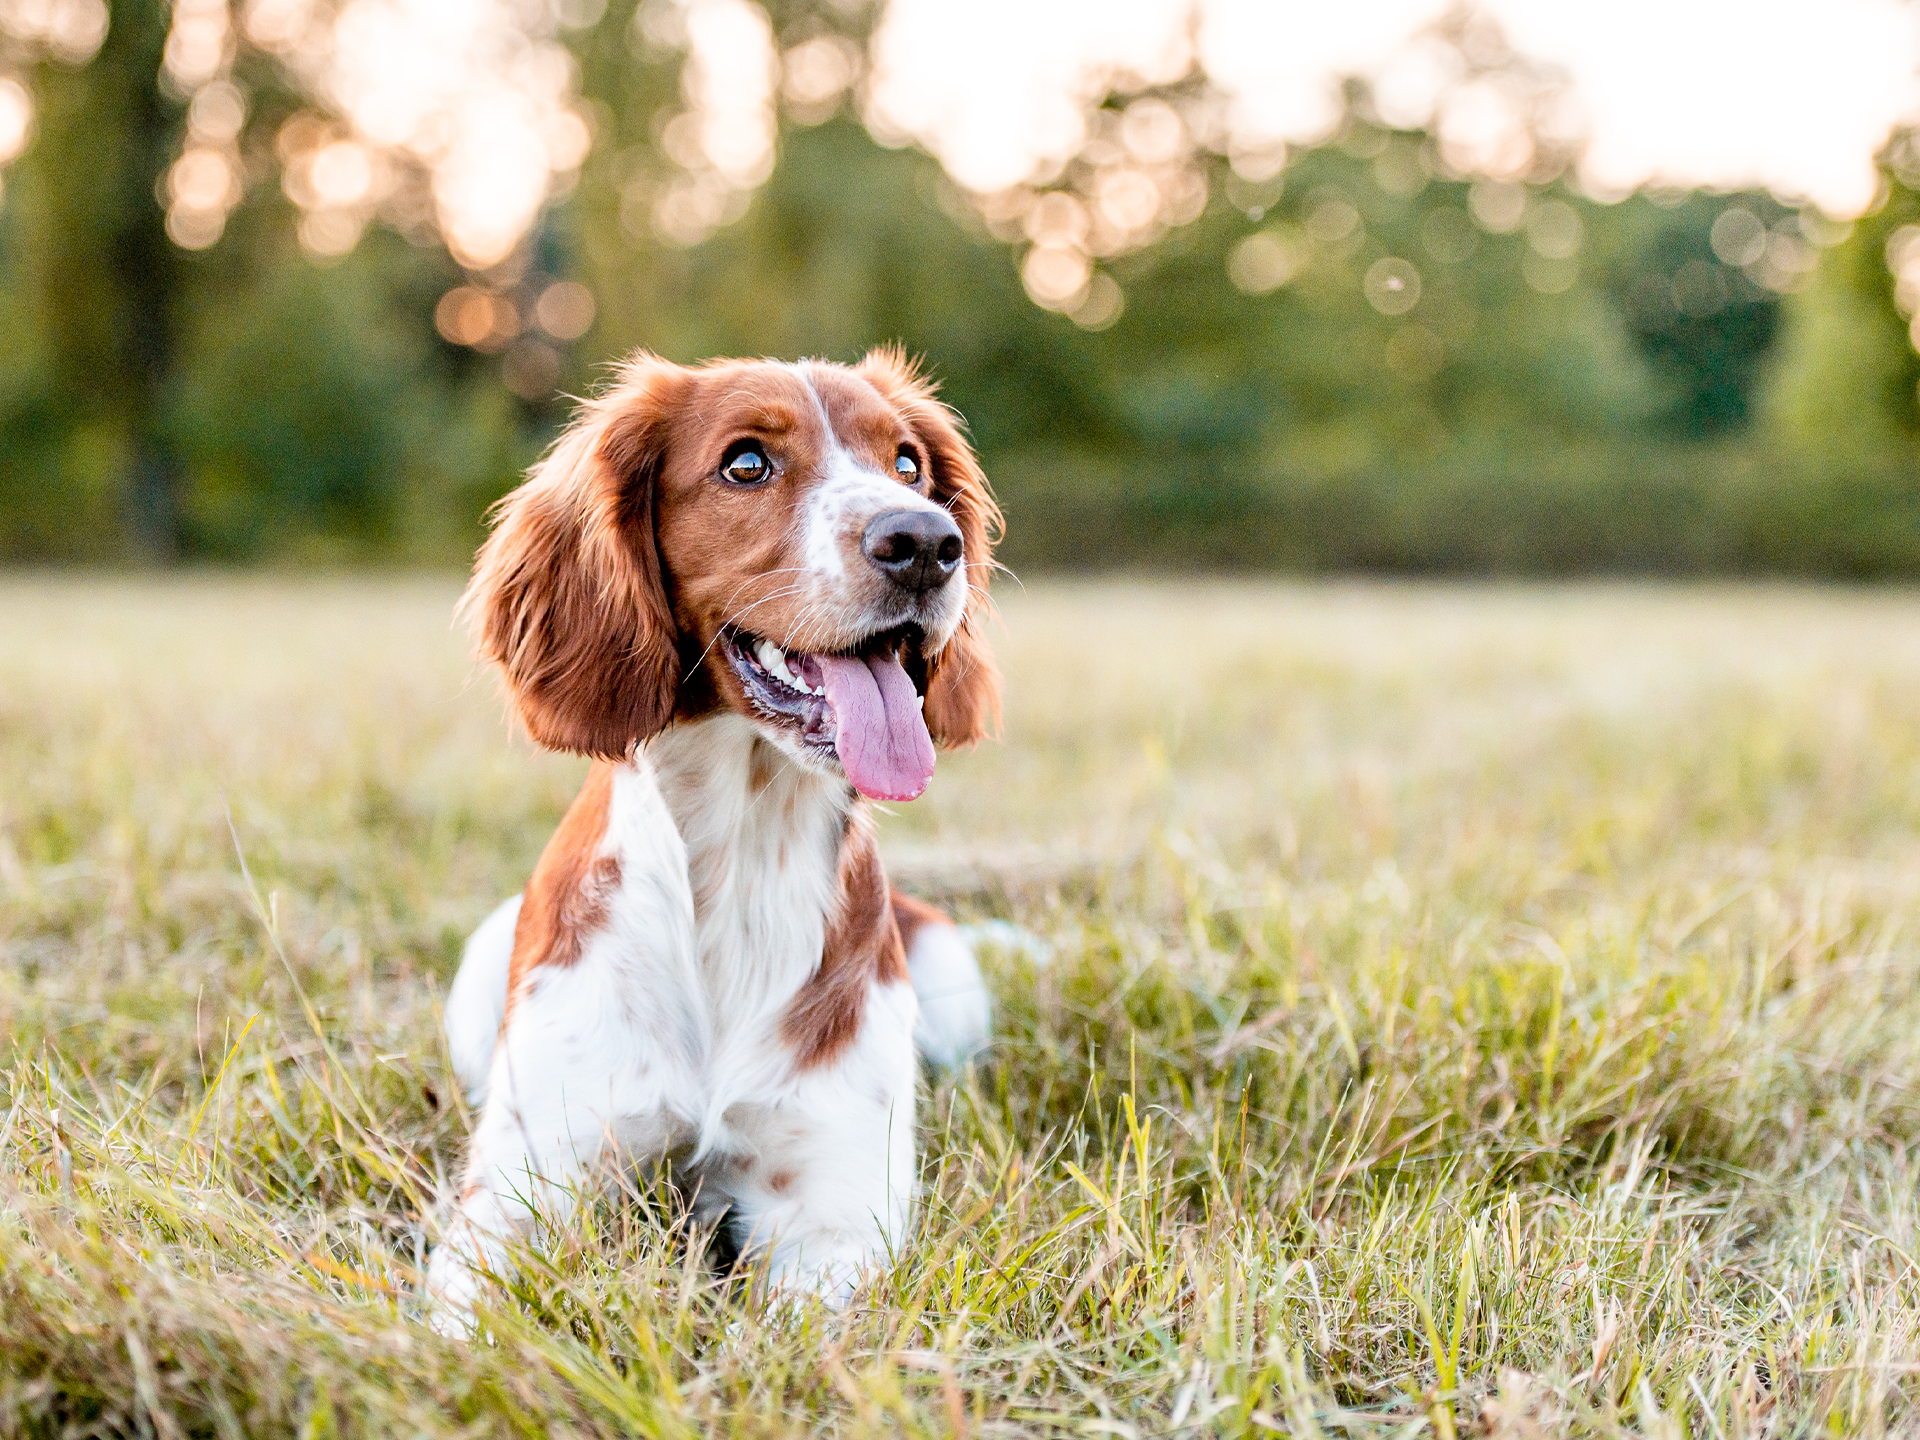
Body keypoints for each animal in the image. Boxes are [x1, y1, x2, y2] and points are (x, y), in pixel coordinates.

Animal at [428, 347, 998, 1328]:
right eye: (746, 464)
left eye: (908, 464)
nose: (926, 542)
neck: (744, 854)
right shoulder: (517, 1193)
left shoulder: (833, 1213)